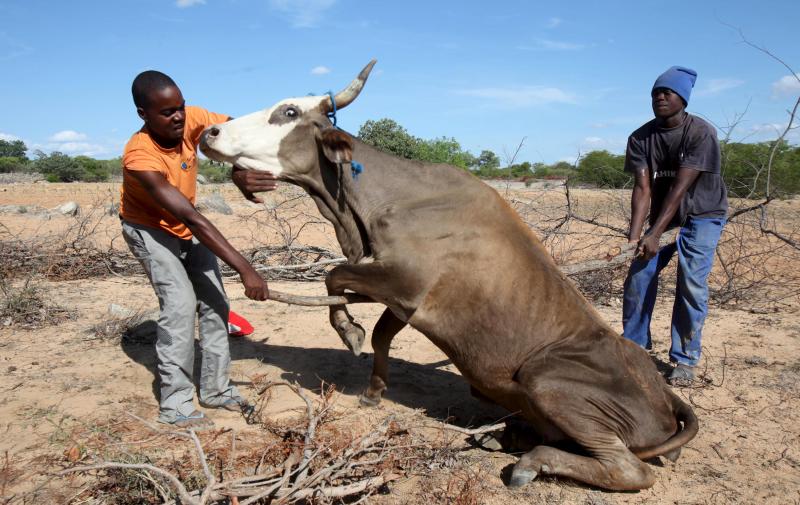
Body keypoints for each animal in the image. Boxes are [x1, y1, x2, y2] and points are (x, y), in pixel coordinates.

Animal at [202, 61, 700, 490]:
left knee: (628, 469)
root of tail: (665, 397)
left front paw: (348, 332)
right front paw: (373, 387)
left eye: (288, 112)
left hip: (546, 380)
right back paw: (508, 436)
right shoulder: (403, 298)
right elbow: (377, 329)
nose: (210, 131)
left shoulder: (404, 281)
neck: (372, 207)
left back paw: (531, 462)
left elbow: (333, 276)